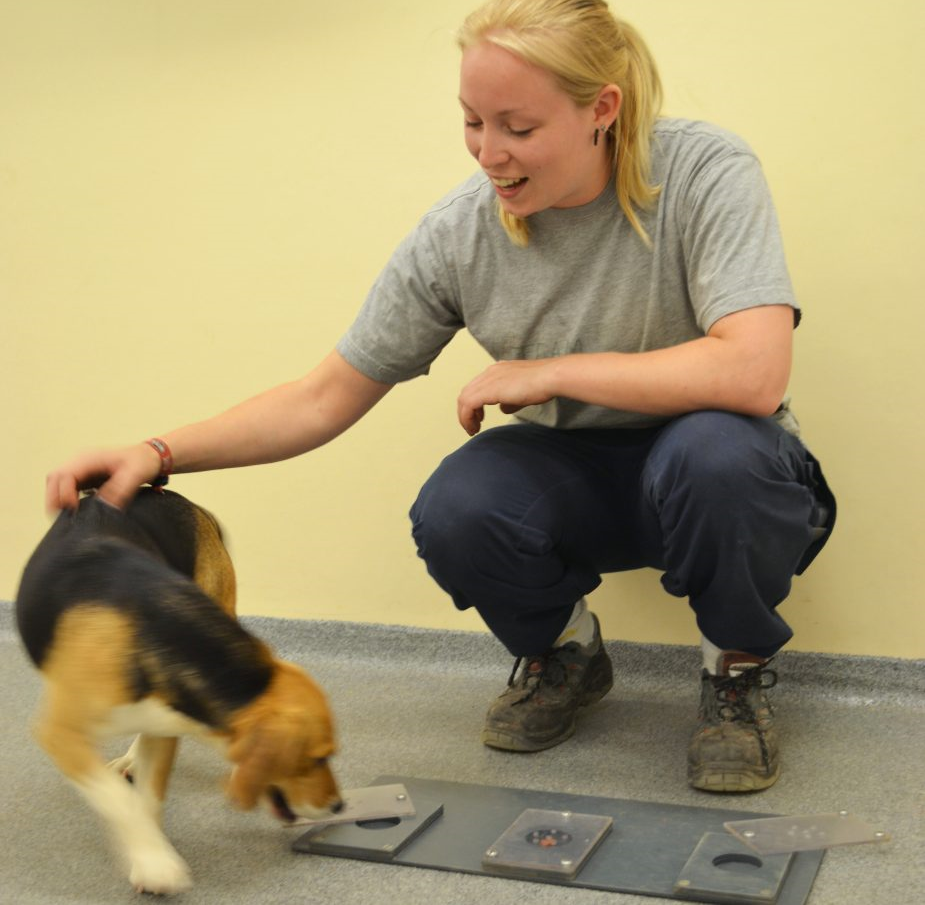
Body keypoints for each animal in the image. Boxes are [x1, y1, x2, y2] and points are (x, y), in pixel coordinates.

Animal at [16, 488, 342, 888]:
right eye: (318, 758)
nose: (339, 806)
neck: (153, 629)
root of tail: (182, 499)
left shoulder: (166, 728)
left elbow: (150, 798)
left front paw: (151, 851)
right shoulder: (59, 733)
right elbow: (119, 800)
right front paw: (155, 861)